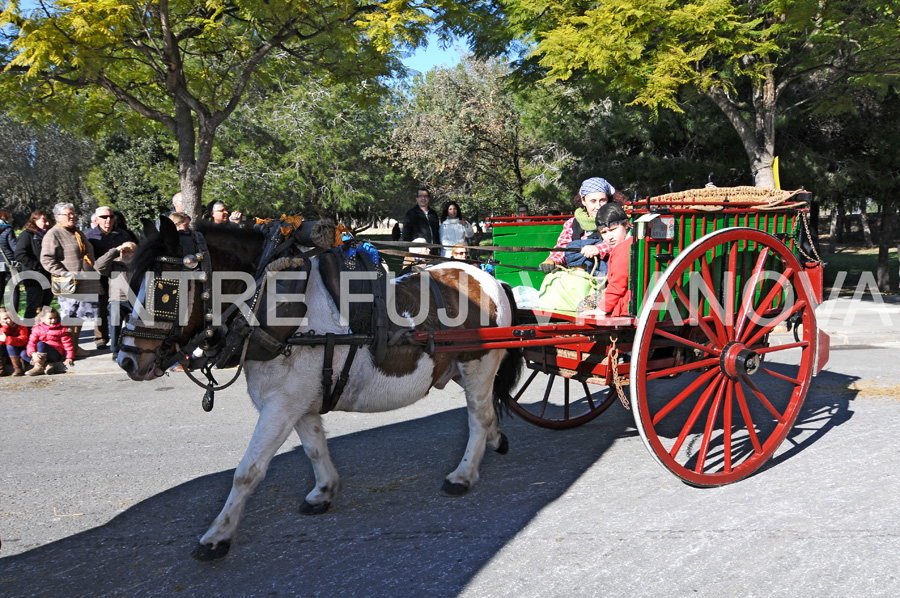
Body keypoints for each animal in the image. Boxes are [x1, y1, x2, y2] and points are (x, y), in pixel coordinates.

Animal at [116, 219, 524, 564]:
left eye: (164, 291)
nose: (126, 359)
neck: (272, 303)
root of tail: (488, 278)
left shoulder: (280, 407)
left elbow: (247, 471)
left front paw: (217, 535)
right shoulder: (298, 403)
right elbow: (314, 448)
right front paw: (324, 491)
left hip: (478, 363)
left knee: (479, 415)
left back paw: (463, 474)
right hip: (456, 367)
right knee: (485, 412)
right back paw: (494, 440)